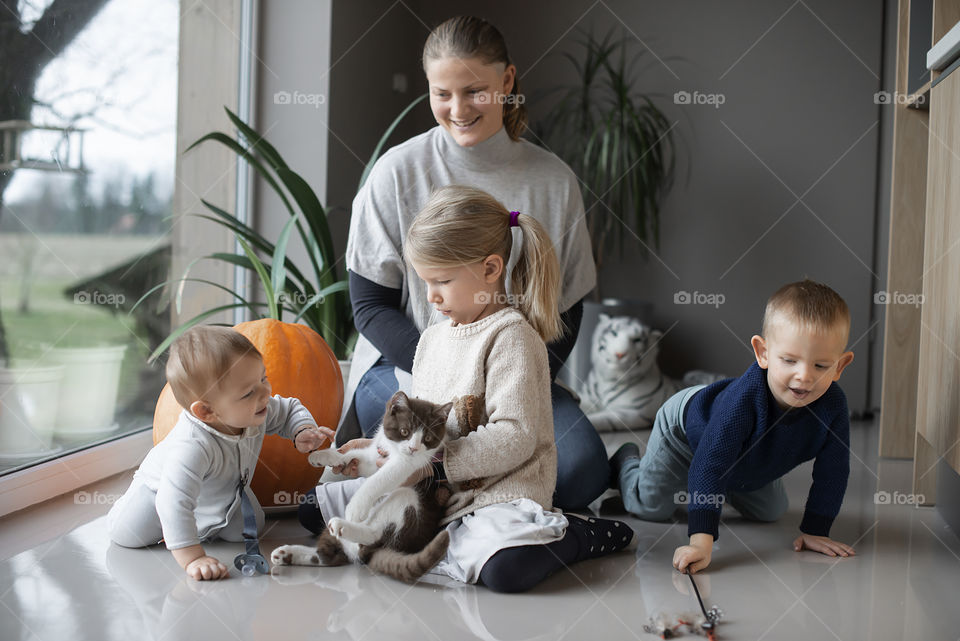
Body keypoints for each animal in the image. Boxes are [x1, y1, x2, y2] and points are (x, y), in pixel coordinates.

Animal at [268, 390, 452, 584]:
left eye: (428, 438)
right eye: (405, 431)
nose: (413, 448)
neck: (394, 448)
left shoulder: (411, 464)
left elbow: (378, 479)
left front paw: (355, 509)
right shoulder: (375, 456)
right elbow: (356, 456)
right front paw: (323, 456)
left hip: (411, 502)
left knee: (373, 534)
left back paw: (341, 525)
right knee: (329, 555)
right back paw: (286, 554)